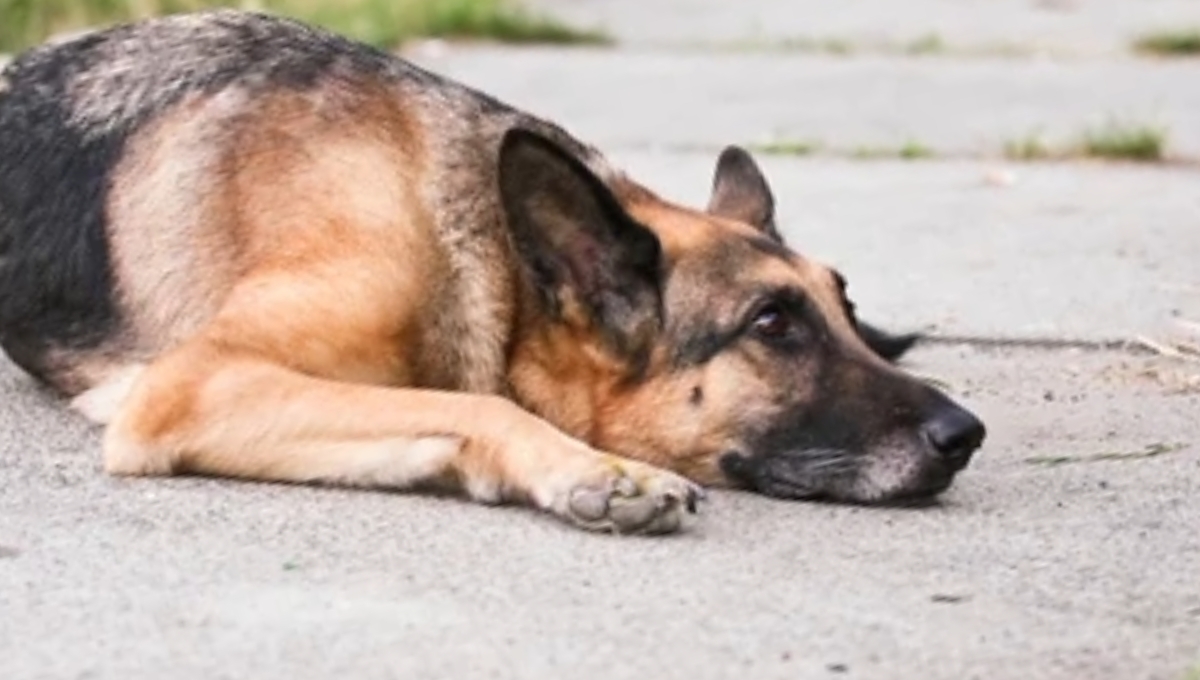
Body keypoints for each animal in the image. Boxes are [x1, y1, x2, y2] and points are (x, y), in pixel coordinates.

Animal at [0, 7, 984, 534]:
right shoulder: (192, 386)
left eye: (844, 310)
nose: (966, 435)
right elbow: (479, 404)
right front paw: (599, 471)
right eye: (772, 325)